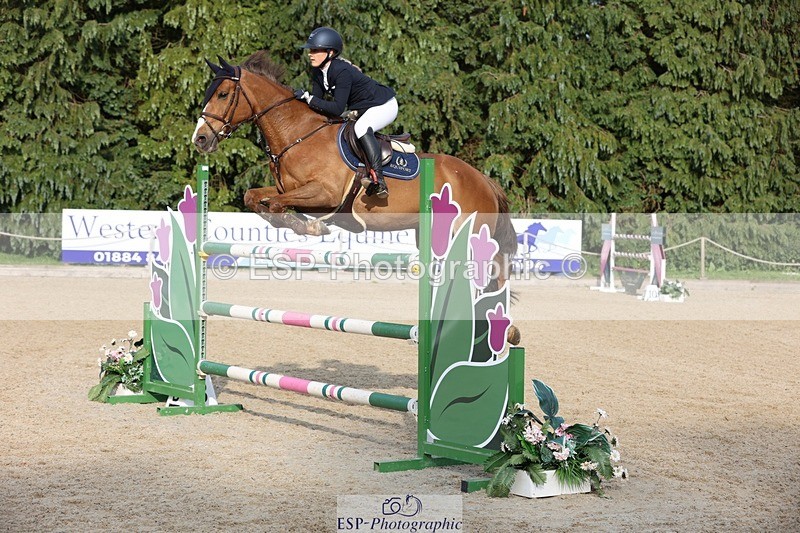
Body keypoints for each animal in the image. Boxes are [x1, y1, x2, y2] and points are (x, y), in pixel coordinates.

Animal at [191, 51, 520, 344]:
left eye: (222, 94)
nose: (200, 139)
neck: (298, 134)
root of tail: (483, 180)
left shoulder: (325, 193)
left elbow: (276, 205)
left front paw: (309, 227)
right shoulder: (289, 191)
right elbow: (255, 198)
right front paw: (304, 224)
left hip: (468, 233)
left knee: (491, 274)